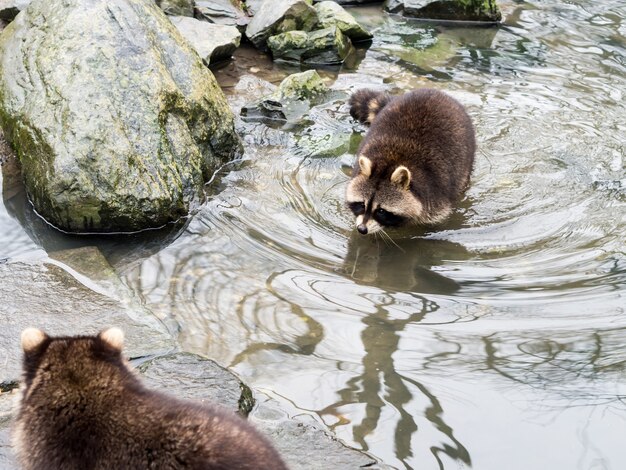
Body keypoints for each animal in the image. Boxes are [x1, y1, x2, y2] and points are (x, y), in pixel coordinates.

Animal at [346, 87, 472, 234]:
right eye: (361, 204)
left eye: (381, 211)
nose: (362, 229)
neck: (390, 162)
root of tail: (432, 91)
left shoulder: (434, 195)